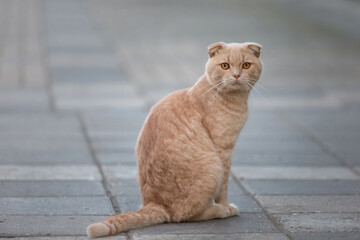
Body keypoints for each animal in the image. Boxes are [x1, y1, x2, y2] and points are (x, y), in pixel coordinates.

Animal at [87, 41, 262, 238]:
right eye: (225, 65)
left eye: (246, 65)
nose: (236, 75)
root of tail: (155, 203)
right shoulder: (223, 153)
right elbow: (223, 188)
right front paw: (226, 206)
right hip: (213, 167)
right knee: (185, 216)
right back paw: (219, 210)